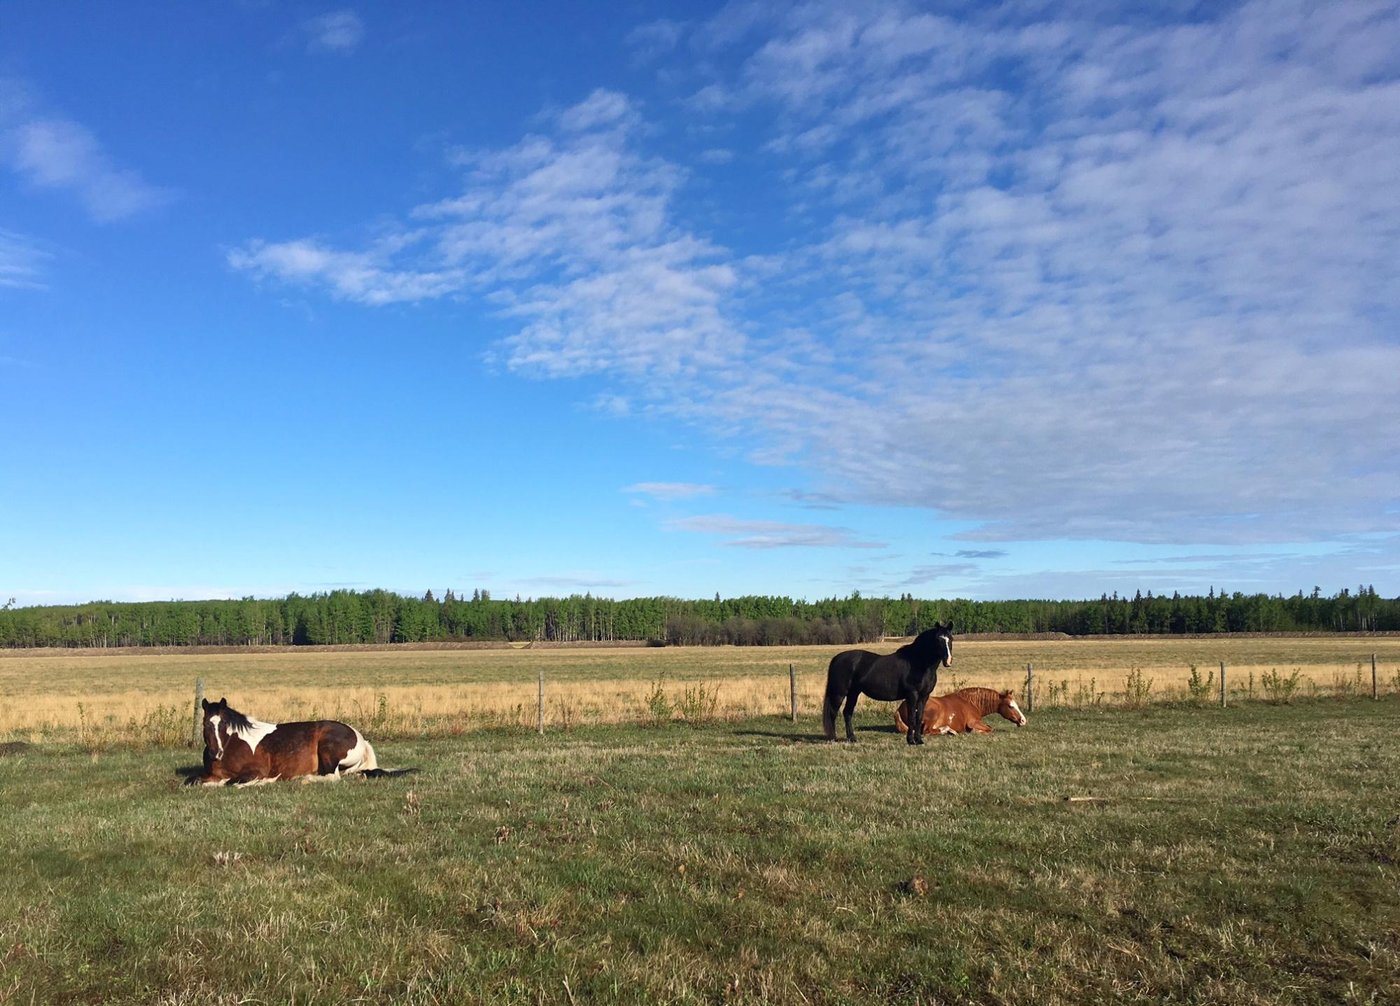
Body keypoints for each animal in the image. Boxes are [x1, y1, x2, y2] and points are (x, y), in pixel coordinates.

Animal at [186, 699, 386, 789]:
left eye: (223, 724)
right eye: (205, 724)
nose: (216, 753)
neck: (231, 745)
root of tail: (360, 738)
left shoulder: (255, 771)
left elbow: (232, 783)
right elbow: (192, 781)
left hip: (327, 749)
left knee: (332, 776)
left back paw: (304, 779)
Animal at [817, 626, 952, 744]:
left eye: (950, 638)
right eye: (938, 639)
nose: (948, 661)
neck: (918, 663)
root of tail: (837, 658)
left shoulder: (924, 696)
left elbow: (919, 718)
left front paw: (919, 740)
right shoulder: (912, 695)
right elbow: (912, 718)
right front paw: (910, 740)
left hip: (853, 693)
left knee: (847, 713)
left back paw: (852, 738)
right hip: (839, 693)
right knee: (833, 713)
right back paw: (833, 738)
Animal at [896, 688, 1030, 733]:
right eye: (1010, 706)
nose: (1023, 720)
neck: (971, 703)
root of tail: (900, 708)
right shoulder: (973, 722)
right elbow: (989, 729)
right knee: (927, 731)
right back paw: (947, 730)